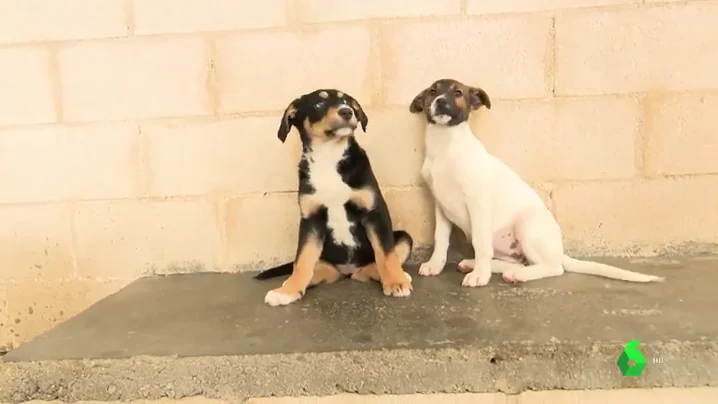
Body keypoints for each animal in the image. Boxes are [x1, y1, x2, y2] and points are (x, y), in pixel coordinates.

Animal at [258, 89, 416, 306]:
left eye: (346, 101)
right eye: (318, 104)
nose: (347, 112)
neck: (329, 155)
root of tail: (349, 271)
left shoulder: (374, 212)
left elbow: (385, 253)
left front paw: (396, 282)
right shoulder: (311, 221)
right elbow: (302, 261)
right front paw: (288, 291)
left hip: (403, 237)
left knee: (374, 265)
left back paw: (399, 275)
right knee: (313, 270)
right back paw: (289, 284)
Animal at [410, 79, 668, 286]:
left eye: (458, 93)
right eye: (433, 91)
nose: (440, 102)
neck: (445, 146)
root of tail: (559, 251)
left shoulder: (478, 203)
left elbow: (481, 243)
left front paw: (480, 276)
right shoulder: (441, 207)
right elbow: (440, 240)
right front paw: (435, 265)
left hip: (526, 225)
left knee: (554, 268)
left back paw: (512, 274)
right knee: (518, 262)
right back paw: (482, 266)